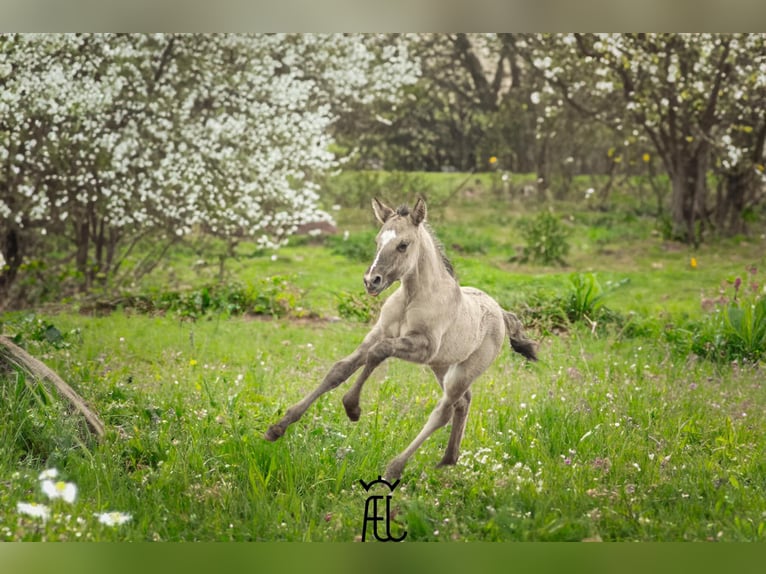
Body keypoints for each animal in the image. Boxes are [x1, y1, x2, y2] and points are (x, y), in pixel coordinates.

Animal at [266, 198, 540, 482]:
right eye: (377, 241)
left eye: (403, 245)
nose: (371, 281)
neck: (412, 297)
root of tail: (501, 312)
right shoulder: (379, 332)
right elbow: (339, 370)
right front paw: (278, 427)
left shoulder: (421, 346)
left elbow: (378, 352)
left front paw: (352, 407)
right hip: (442, 365)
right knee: (462, 403)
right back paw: (448, 460)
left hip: (464, 370)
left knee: (443, 411)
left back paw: (396, 467)